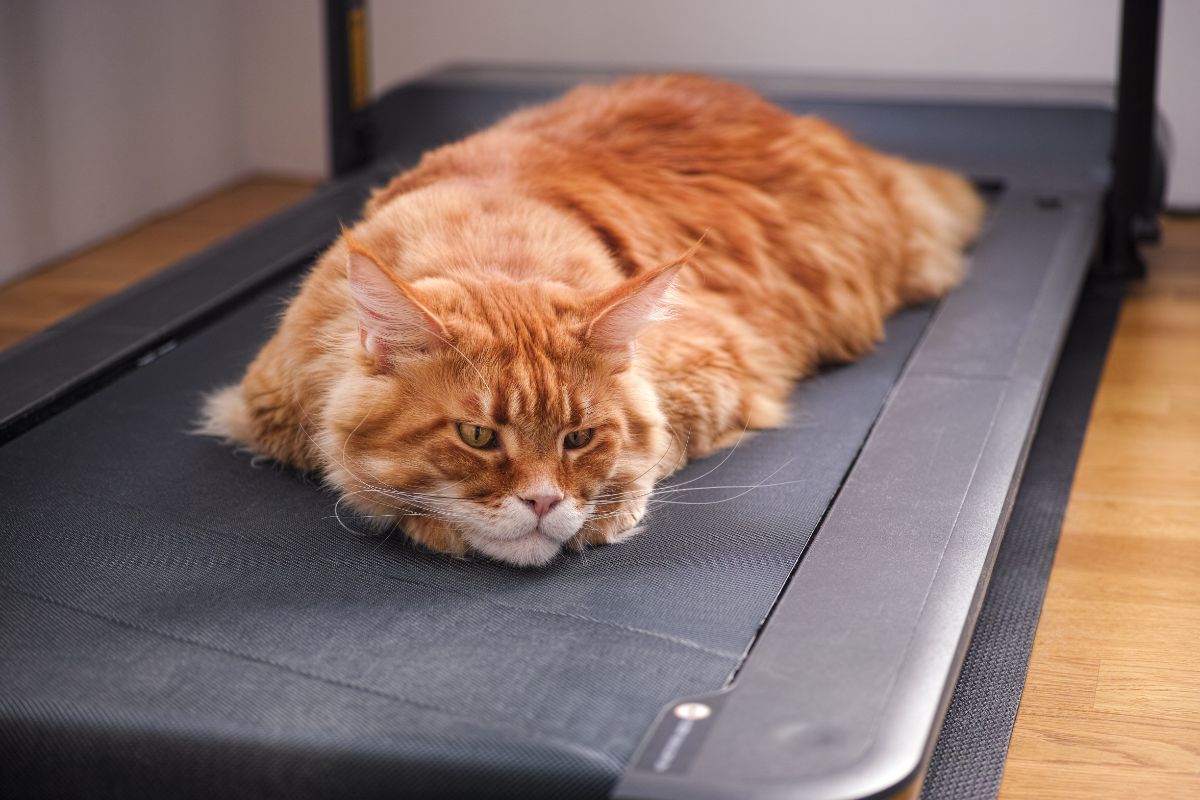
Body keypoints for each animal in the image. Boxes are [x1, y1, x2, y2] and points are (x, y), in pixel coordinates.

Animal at [199, 73, 984, 563]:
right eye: (477, 435)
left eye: (578, 438)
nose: (545, 502)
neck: (493, 238)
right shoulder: (265, 407)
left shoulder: (717, 364)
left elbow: (655, 440)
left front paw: (603, 506)